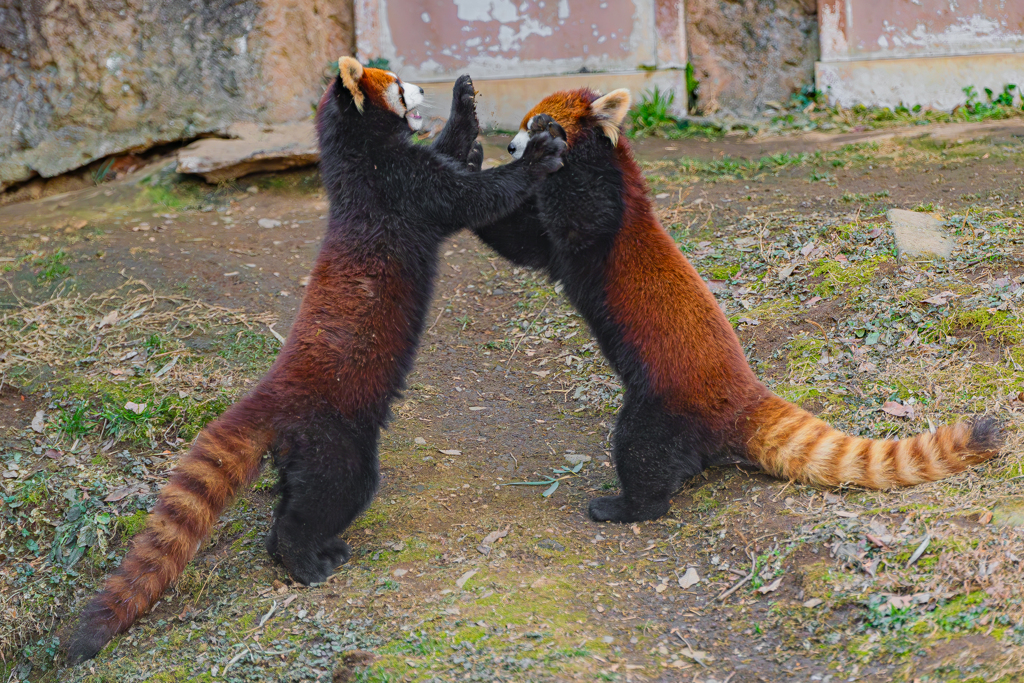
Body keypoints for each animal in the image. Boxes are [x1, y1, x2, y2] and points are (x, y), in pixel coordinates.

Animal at [67, 56, 565, 663]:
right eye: (398, 85)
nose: (424, 85)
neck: (357, 161)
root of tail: (271, 393)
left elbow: (451, 157)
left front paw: (465, 109)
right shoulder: (402, 189)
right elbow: (475, 198)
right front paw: (531, 155)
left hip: (302, 450)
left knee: (294, 499)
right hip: (335, 439)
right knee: (333, 494)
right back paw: (305, 559)